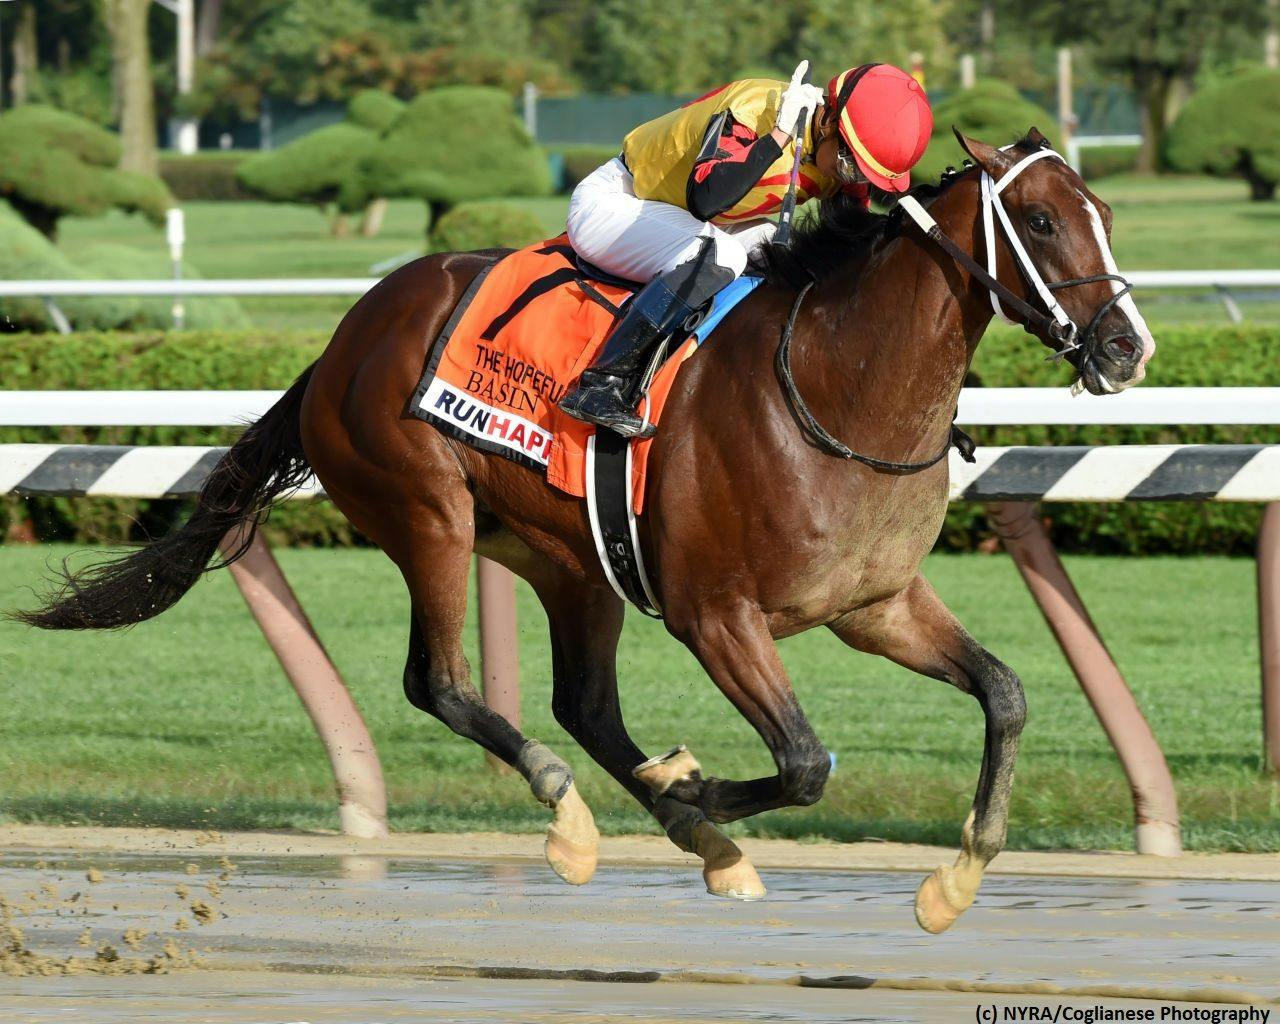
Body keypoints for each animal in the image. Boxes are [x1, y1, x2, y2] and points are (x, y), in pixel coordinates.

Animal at [15, 129, 1157, 936]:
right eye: (1040, 222)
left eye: (1104, 212)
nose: (1125, 346)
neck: (839, 384)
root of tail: (344, 336)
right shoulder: (715, 614)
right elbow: (803, 762)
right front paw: (697, 781)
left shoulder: (874, 604)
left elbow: (1004, 694)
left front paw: (953, 879)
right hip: (428, 512)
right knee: (439, 682)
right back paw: (577, 815)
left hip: (574, 562)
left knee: (585, 704)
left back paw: (694, 835)